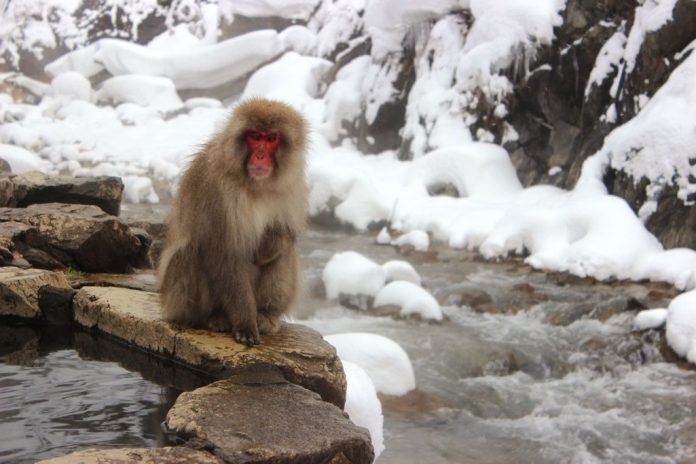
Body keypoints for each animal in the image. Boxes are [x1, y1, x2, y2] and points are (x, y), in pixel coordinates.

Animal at [160, 99, 310, 344]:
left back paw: (266, 314)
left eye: (271, 138)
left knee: (285, 253)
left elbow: (284, 234)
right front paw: (245, 324)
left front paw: (272, 244)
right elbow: (225, 254)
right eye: (255, 136)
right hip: (176, 299)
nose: (260, 155)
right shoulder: (216, 191)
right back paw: (213, 317)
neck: (255, 185)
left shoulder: (292, 185)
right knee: (192, 251)